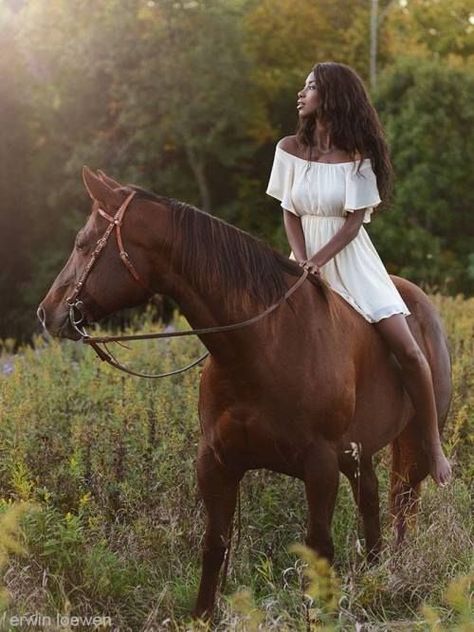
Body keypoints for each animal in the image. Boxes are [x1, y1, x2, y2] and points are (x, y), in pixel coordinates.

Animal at [38, 168, 452, 616]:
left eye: (82, 243)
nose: (48, 312)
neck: (260, 346)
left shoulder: (320, 465)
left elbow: (319, 547)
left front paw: (319, 615)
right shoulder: (216, 461)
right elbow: (214, 545)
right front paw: (202, 616)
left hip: (407, 446)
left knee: (402, 506)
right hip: (354, 455)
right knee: (372, 501)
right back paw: (375, 574)